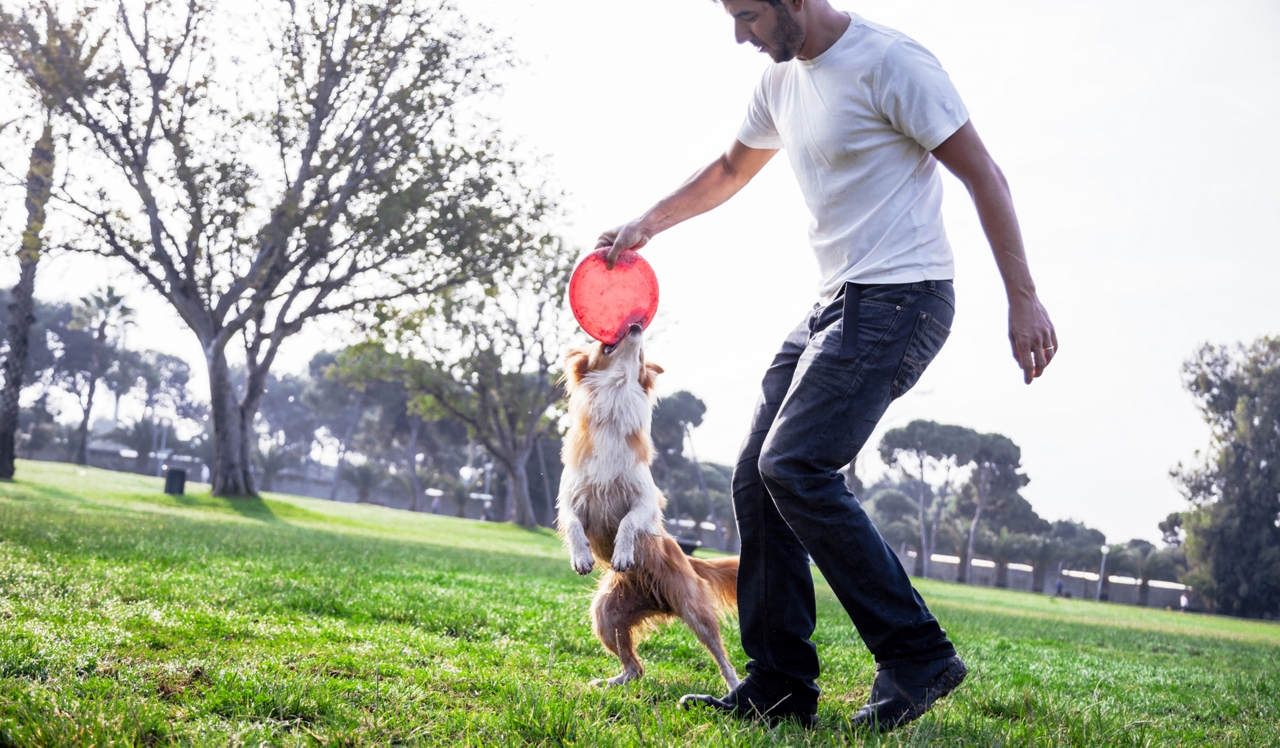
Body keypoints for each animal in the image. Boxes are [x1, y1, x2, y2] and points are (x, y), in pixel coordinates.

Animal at [558, 325, 747, 691]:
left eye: (642, 355)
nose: (633, 325)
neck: (615, 398)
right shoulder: (570, 498)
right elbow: (573, 523)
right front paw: (582, 556)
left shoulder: (646, 501)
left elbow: (629, 522)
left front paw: (622, 554)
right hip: (606, 615)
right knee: (635, 667)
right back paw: (610, 683)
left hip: (695, 610)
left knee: (721, 657)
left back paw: (734, 688)